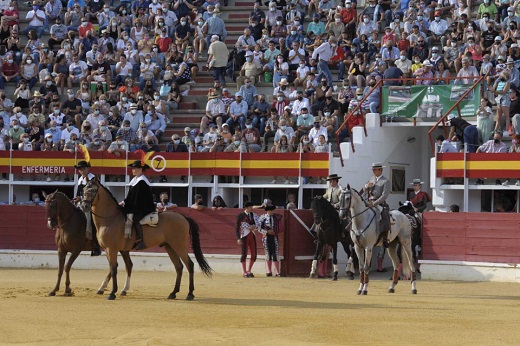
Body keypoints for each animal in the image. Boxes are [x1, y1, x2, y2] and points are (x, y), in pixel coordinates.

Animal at [81, 177, 211, 302]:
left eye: (93, 190)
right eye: (83, 190)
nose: (84, 206)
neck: (110, 219)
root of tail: (183, 217)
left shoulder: (111, 249)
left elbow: (113, 268)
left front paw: (112, 293)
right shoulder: (118, 250)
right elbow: (119, 267)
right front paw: (109, 289)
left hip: (179, 246)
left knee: (190, 265)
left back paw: (190, 294)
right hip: (169, 247)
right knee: (178, 267)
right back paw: (173, 293)